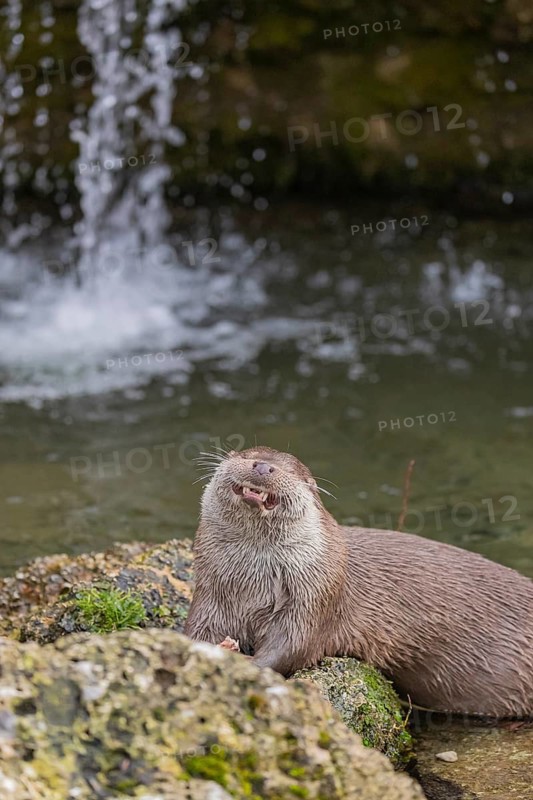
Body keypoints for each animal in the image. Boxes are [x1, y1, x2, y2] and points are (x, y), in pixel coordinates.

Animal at [185, 446, 533, 717]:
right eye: (247, 453)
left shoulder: (315, 598)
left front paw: (246, 664)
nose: (262, 465)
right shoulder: (211, 597)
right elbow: (197, 633)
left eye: (293, 471)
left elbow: (291, 647)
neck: (253, 585)